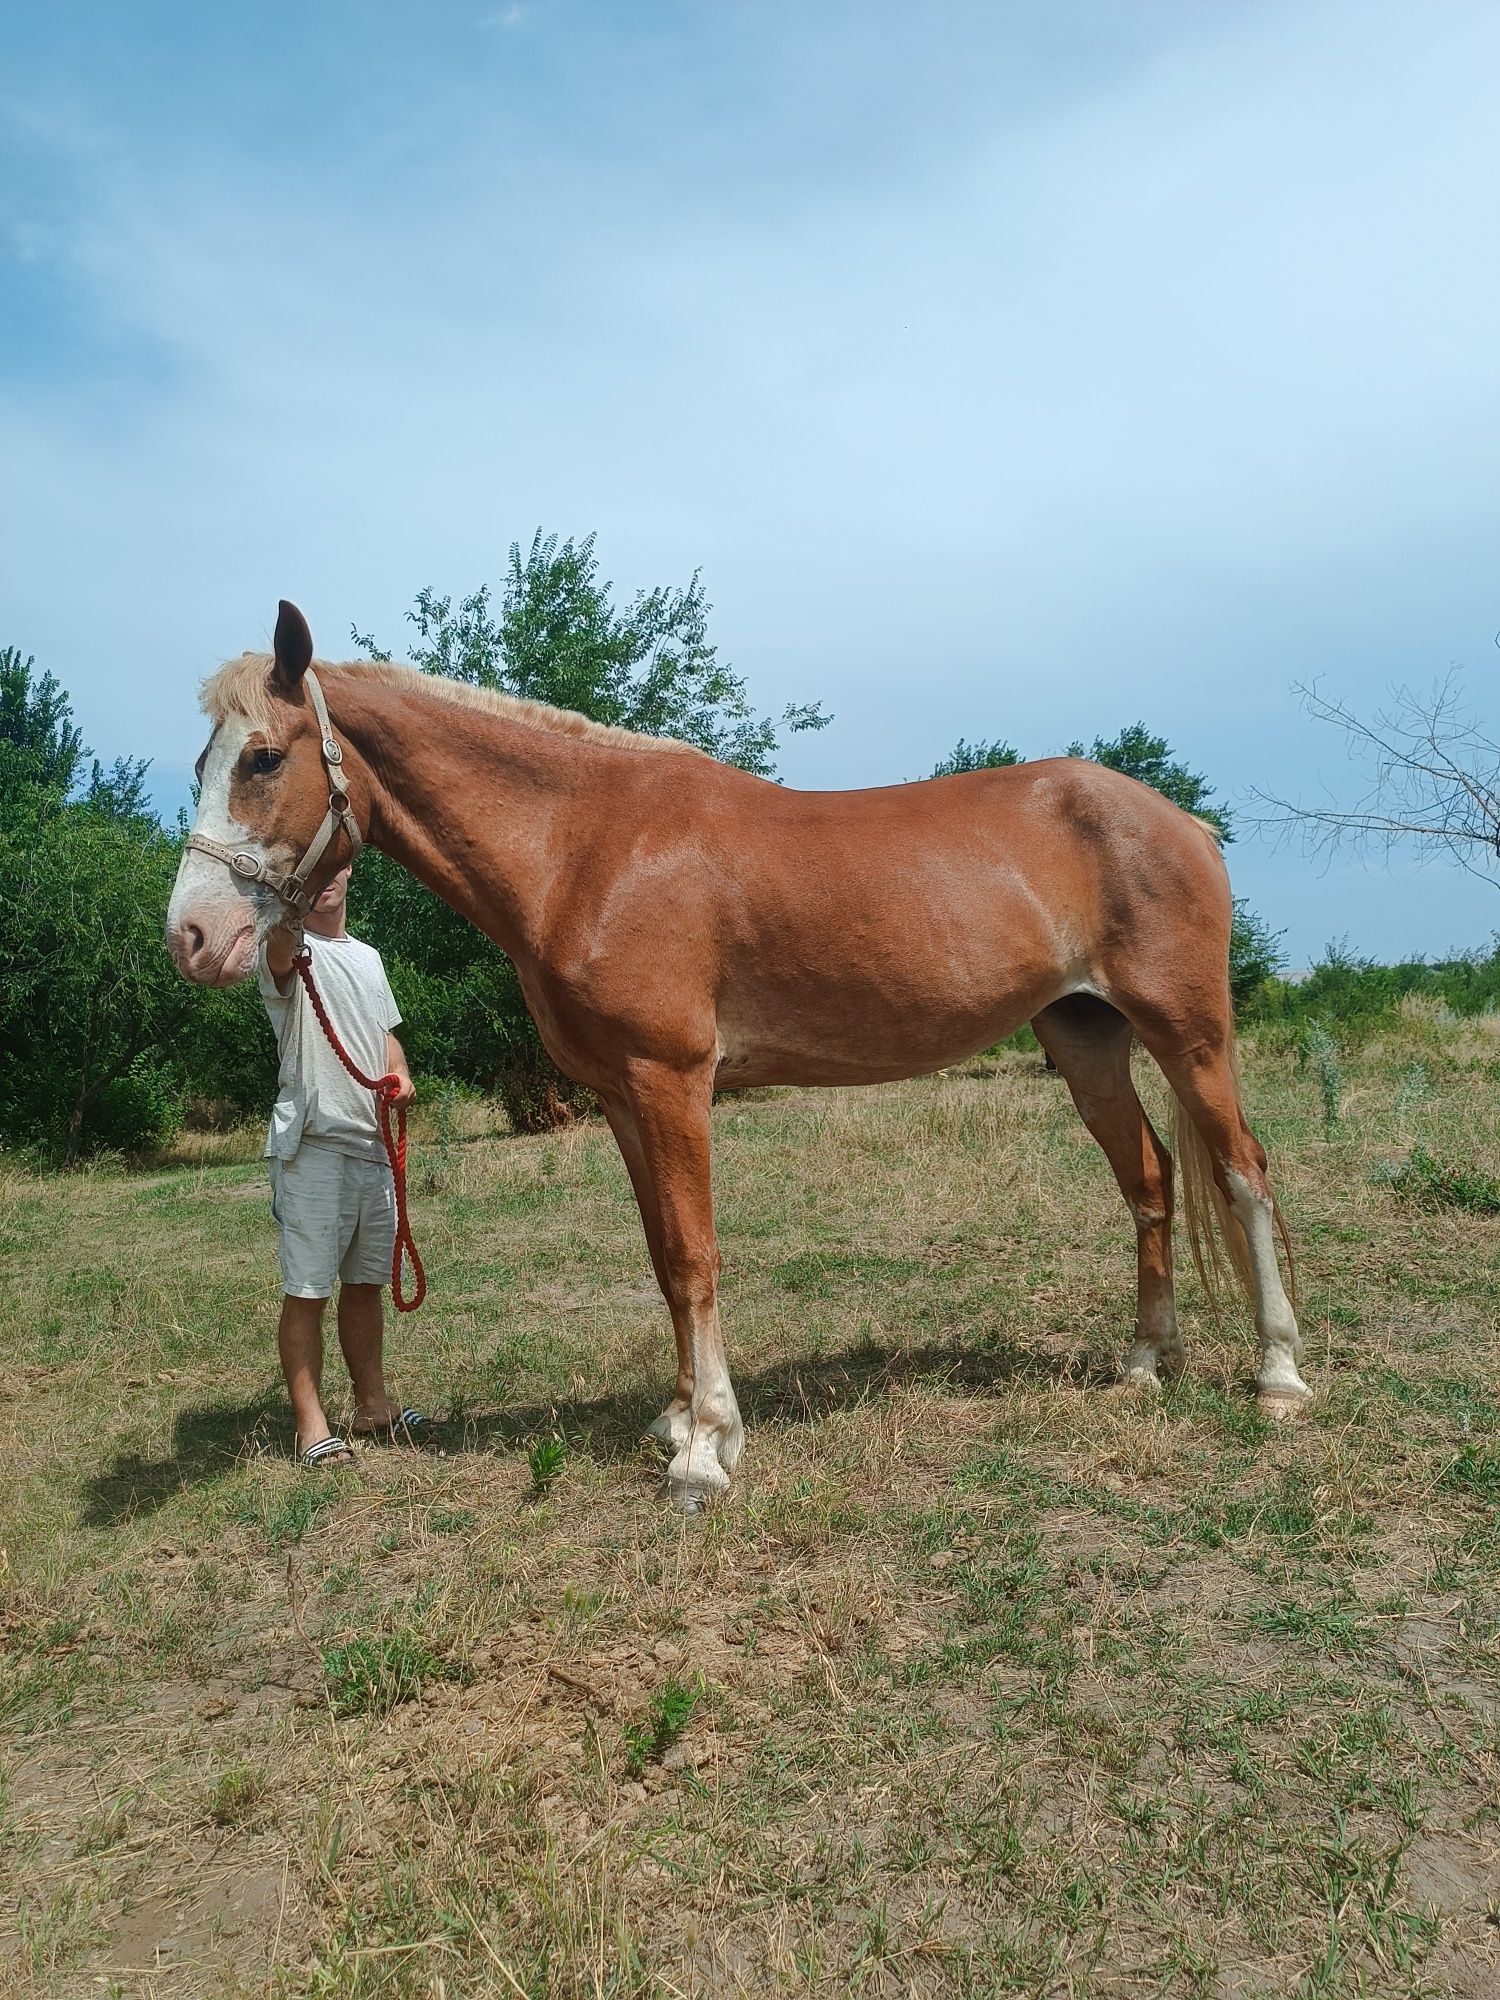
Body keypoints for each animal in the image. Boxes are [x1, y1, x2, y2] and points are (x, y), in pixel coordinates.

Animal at [164, 600, 1312, 1504]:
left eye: (264, 757)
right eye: (203, 763)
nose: (192, 938)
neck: (585, 845)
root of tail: (1182, 822)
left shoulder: (673, 1081)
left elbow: (695, 1255)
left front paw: (707, 1453)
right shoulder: (622, 1098)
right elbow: (662, 1259)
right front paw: (676, 1421)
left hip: (1188, 1033)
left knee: (1244, 1173)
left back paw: (1279, 1377)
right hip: (1085, 1039)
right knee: (1151, 1180)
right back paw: (1145, 1362)